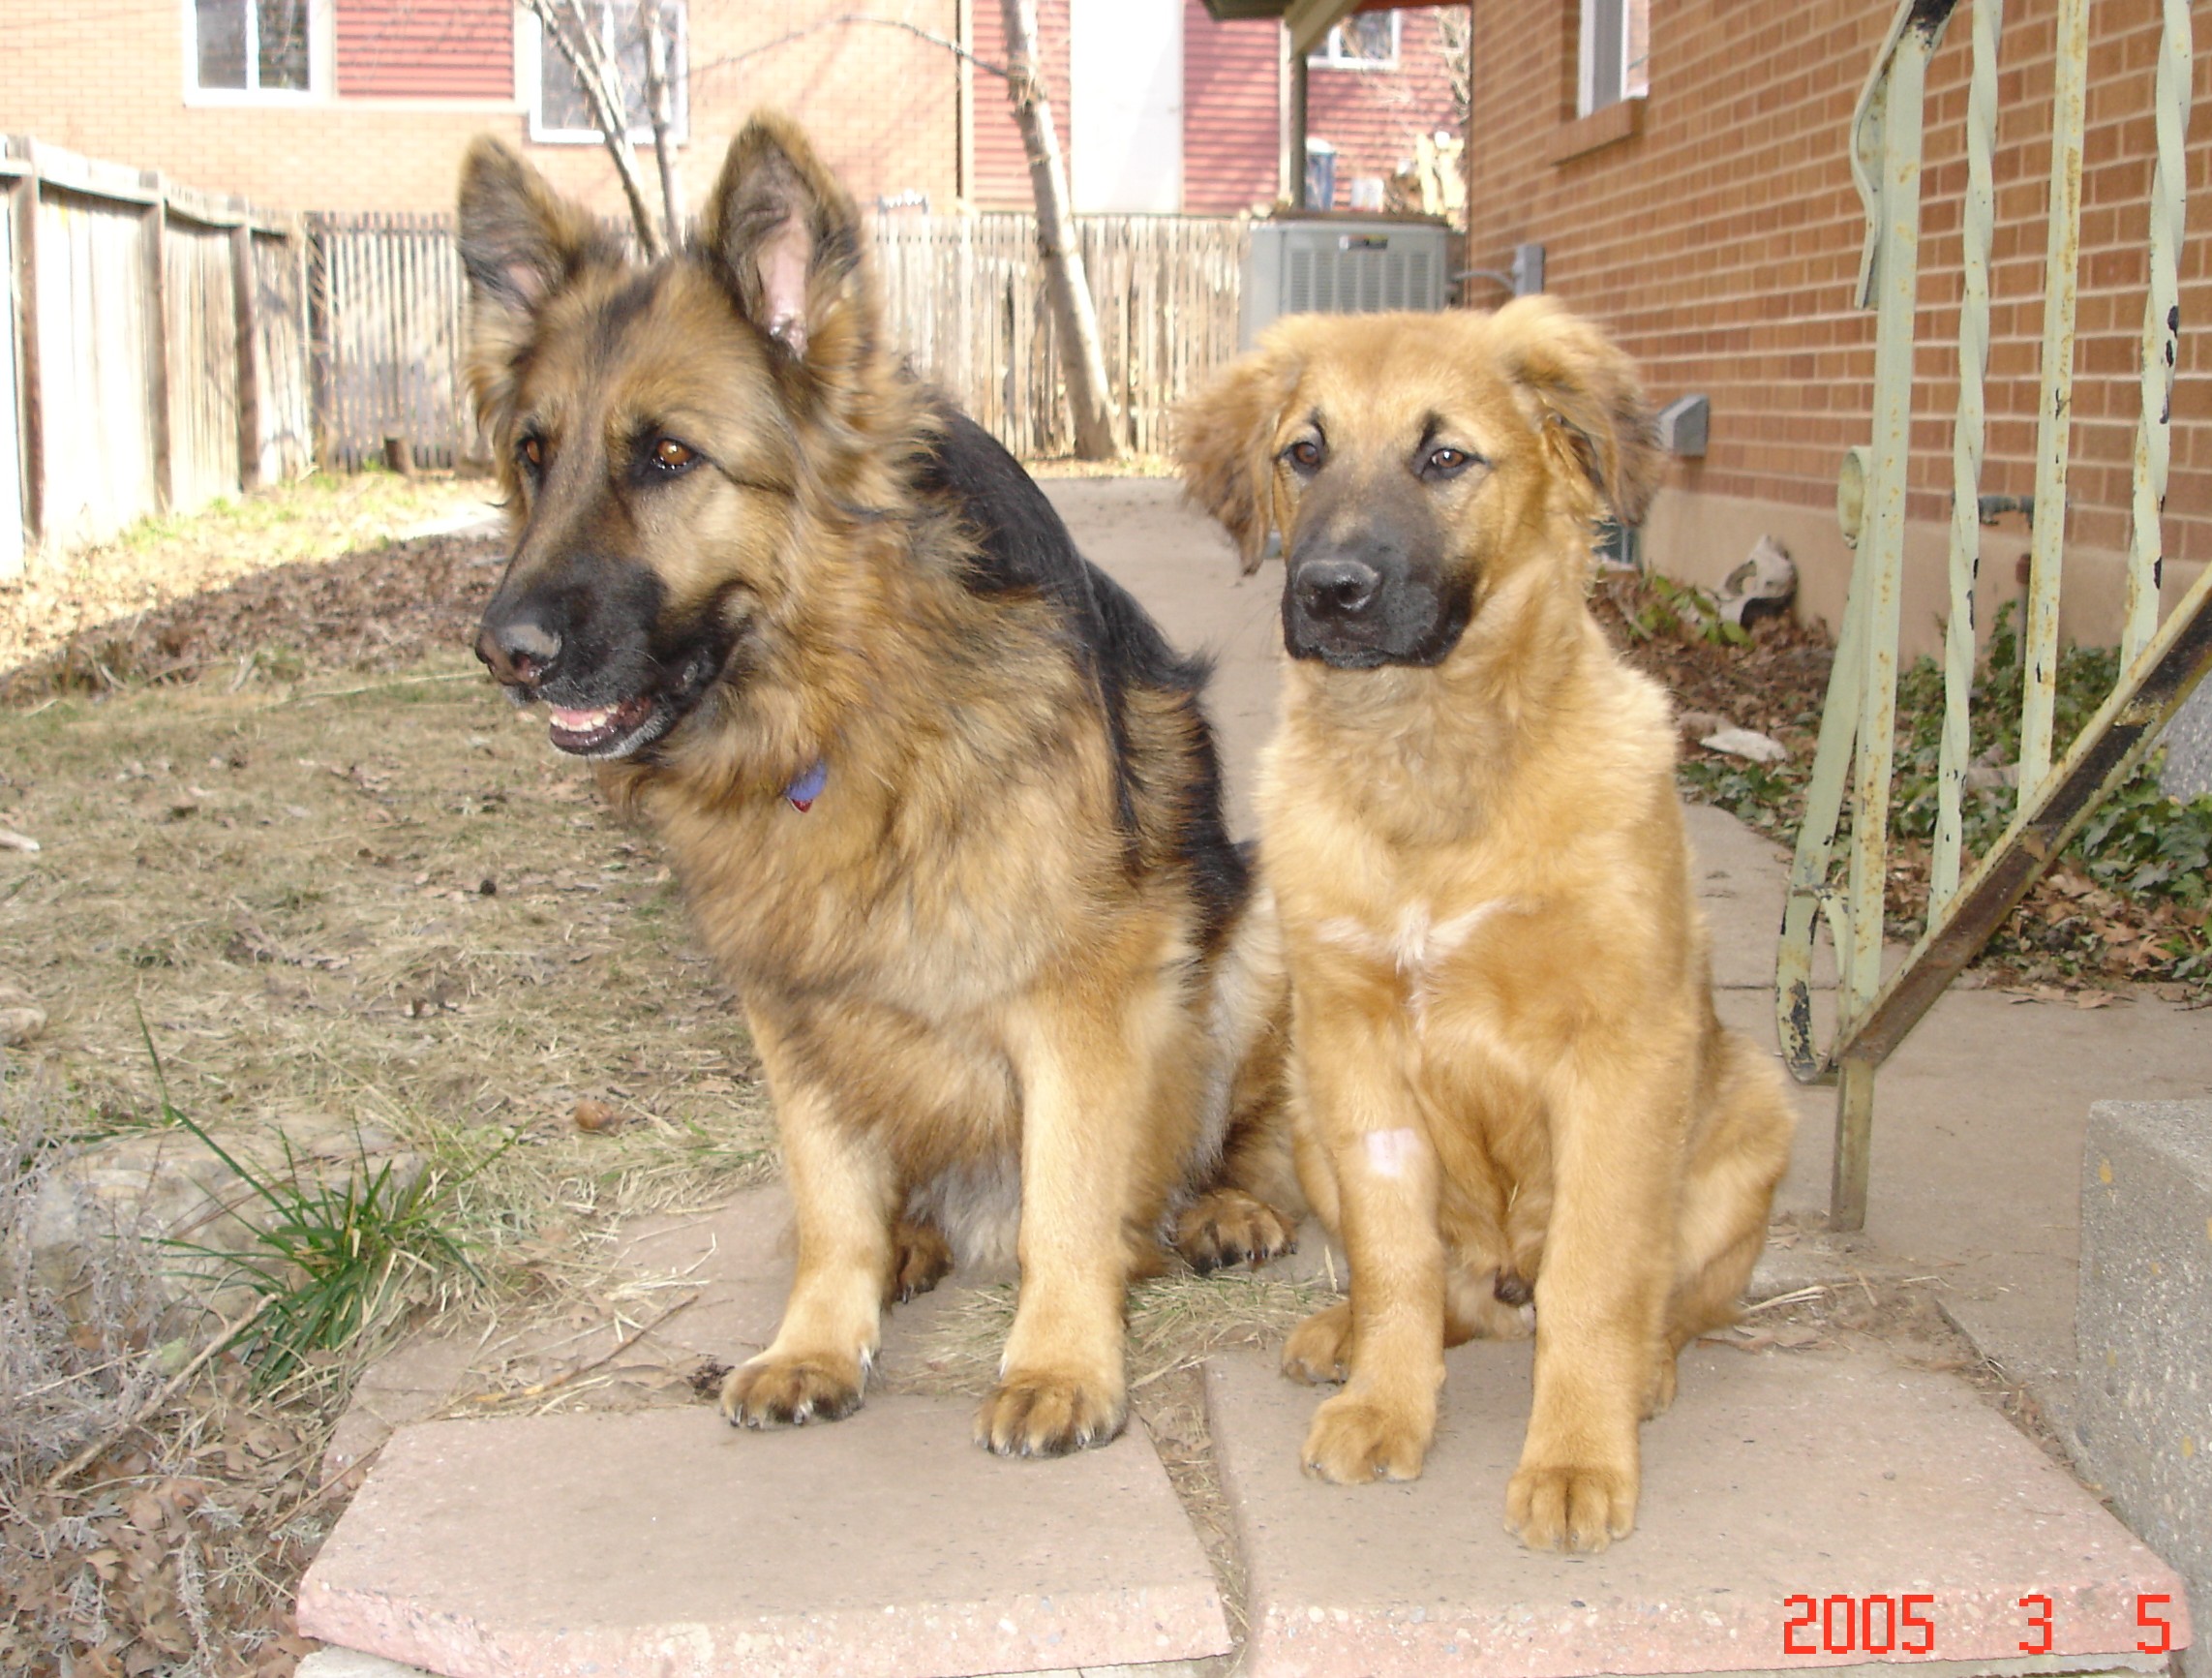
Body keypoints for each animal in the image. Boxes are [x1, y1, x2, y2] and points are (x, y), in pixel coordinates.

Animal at [1176, 298, 1796, 1549]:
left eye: (1444, 458)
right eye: (1302, 452)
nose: (1327, 590)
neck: (1432, 766)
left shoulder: (1620, 1051)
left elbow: (1597, 1276)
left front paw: (1573, 1458)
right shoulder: (1353, 1039)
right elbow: (1394, 1253)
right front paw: (1386, 1401)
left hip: (1754, 1106)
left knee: (1650, 1299)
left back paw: (1641, 1372)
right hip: (1306, 1105)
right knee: (1427, 1282)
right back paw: (1349, 1339)